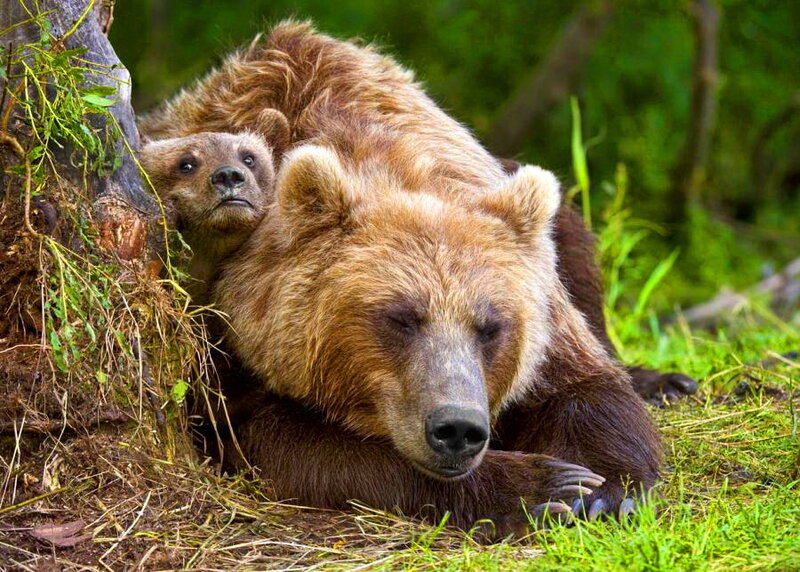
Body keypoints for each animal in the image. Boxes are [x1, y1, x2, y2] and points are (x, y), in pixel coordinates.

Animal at [141, 21, 662, 537]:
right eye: (401, 318)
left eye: (490, 326)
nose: (457, 428)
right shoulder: (233, 348)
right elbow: (299, 448)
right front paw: (539, 486)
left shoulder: (546, 319)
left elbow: (585, 388)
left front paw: (605, 491)